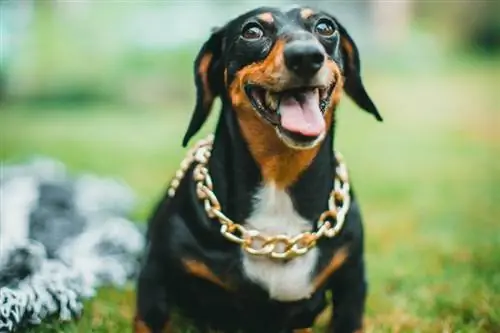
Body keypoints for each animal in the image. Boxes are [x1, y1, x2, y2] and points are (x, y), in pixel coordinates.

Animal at [135, 5, 380, 332]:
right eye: (251, 31)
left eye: (325, 27)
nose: (306, 56)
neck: (278, 179)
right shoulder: (156, 276)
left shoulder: (352, 281)